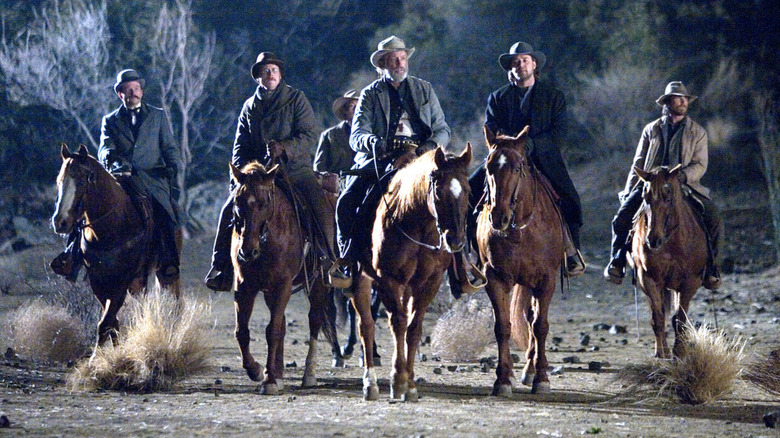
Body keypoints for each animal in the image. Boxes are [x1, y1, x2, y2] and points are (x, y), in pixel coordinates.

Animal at [51, 144, 181, 352]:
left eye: (81, 181)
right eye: (59, 181)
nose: (60, 222)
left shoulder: (122, 280)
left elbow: (106, 322)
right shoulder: (99, 280)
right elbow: (111, 322)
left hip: (164, 270)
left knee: (174, 298)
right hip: (138, 280)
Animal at [225, 163, 336, 396]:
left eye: (265, 203)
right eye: (238, 201)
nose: (247, 251)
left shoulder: (282, 285)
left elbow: (272, 332)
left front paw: (268, 381)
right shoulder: (244, 286)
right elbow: (242, 331)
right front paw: (258, 371)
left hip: (319, 284)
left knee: (314, 320)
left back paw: (308, 375)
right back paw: (278, 374)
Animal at [350, 145, 472, 402]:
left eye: (467, 190)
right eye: (439, 190)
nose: (455, 241)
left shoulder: (428, 283)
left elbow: (413, 329)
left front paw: (411, 385)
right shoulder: (387, 280)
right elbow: (398, 323)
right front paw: (398, 381)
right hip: (360, 280)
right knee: (366, 325)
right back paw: (370, 384)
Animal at [476, 125, 568, 396]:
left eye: (517, 168)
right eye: (488, 167)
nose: (499, 217)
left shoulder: (546, 280)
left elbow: (541, 326)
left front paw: (542, 378)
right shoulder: (495, 278)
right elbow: (502, 326)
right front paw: (503, 379)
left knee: (534, 319)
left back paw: (532, 369)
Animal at [628, 164, 708, 360]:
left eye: (668, 197)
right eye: (645, 198)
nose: (652, 240)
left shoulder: (690, 282)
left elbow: (680, 319)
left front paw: (679, 352)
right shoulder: (648, 279)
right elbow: (658, 317)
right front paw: (661, 352)